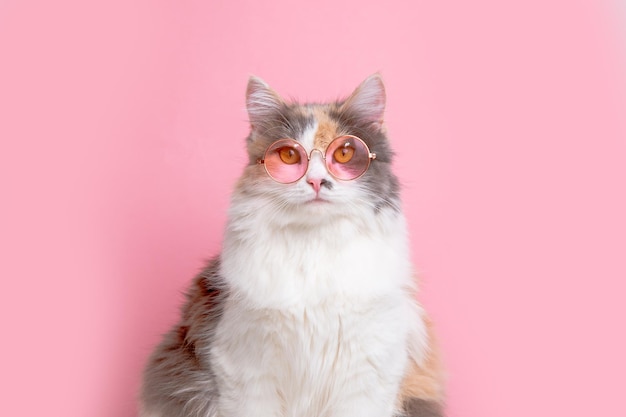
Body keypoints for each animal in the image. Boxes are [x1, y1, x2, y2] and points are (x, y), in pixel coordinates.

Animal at [140, 75, 444, 416]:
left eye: (344, 154)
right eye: (288, 156)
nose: (316, 182)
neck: (316, 245)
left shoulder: (368, 369)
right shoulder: (243, 368)